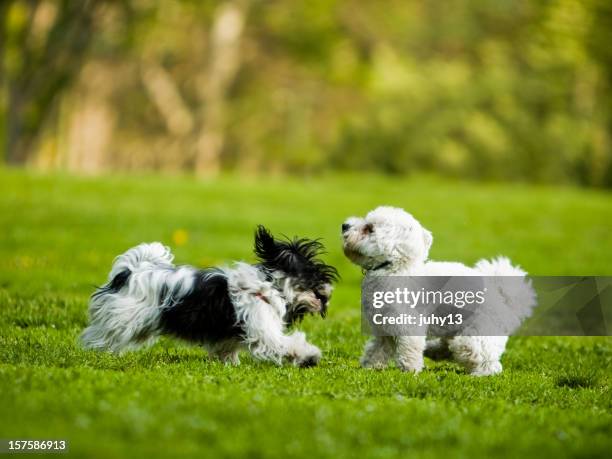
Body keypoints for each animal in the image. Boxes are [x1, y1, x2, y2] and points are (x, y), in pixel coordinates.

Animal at [80, 228, 340, 368]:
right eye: (315, 274)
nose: (328, 291)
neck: (267, 287)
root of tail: (129, 272)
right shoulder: (263, 331)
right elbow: (286, 344)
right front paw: (309, 355)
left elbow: (227, 349)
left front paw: (229, 363)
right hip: (122, 319)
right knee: (97, 335)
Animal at [342, 207, 536, 376]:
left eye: (369, 228)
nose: (344, 225)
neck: (396, 269)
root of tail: (504, 301)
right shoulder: (384, 329)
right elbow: (376, 350)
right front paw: (369, 367)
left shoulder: (409, 324)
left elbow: (409, 350)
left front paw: (409, 371)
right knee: (449, 349)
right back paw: (432, 351)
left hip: (476, 333)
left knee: (483, 358)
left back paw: (480, 374)